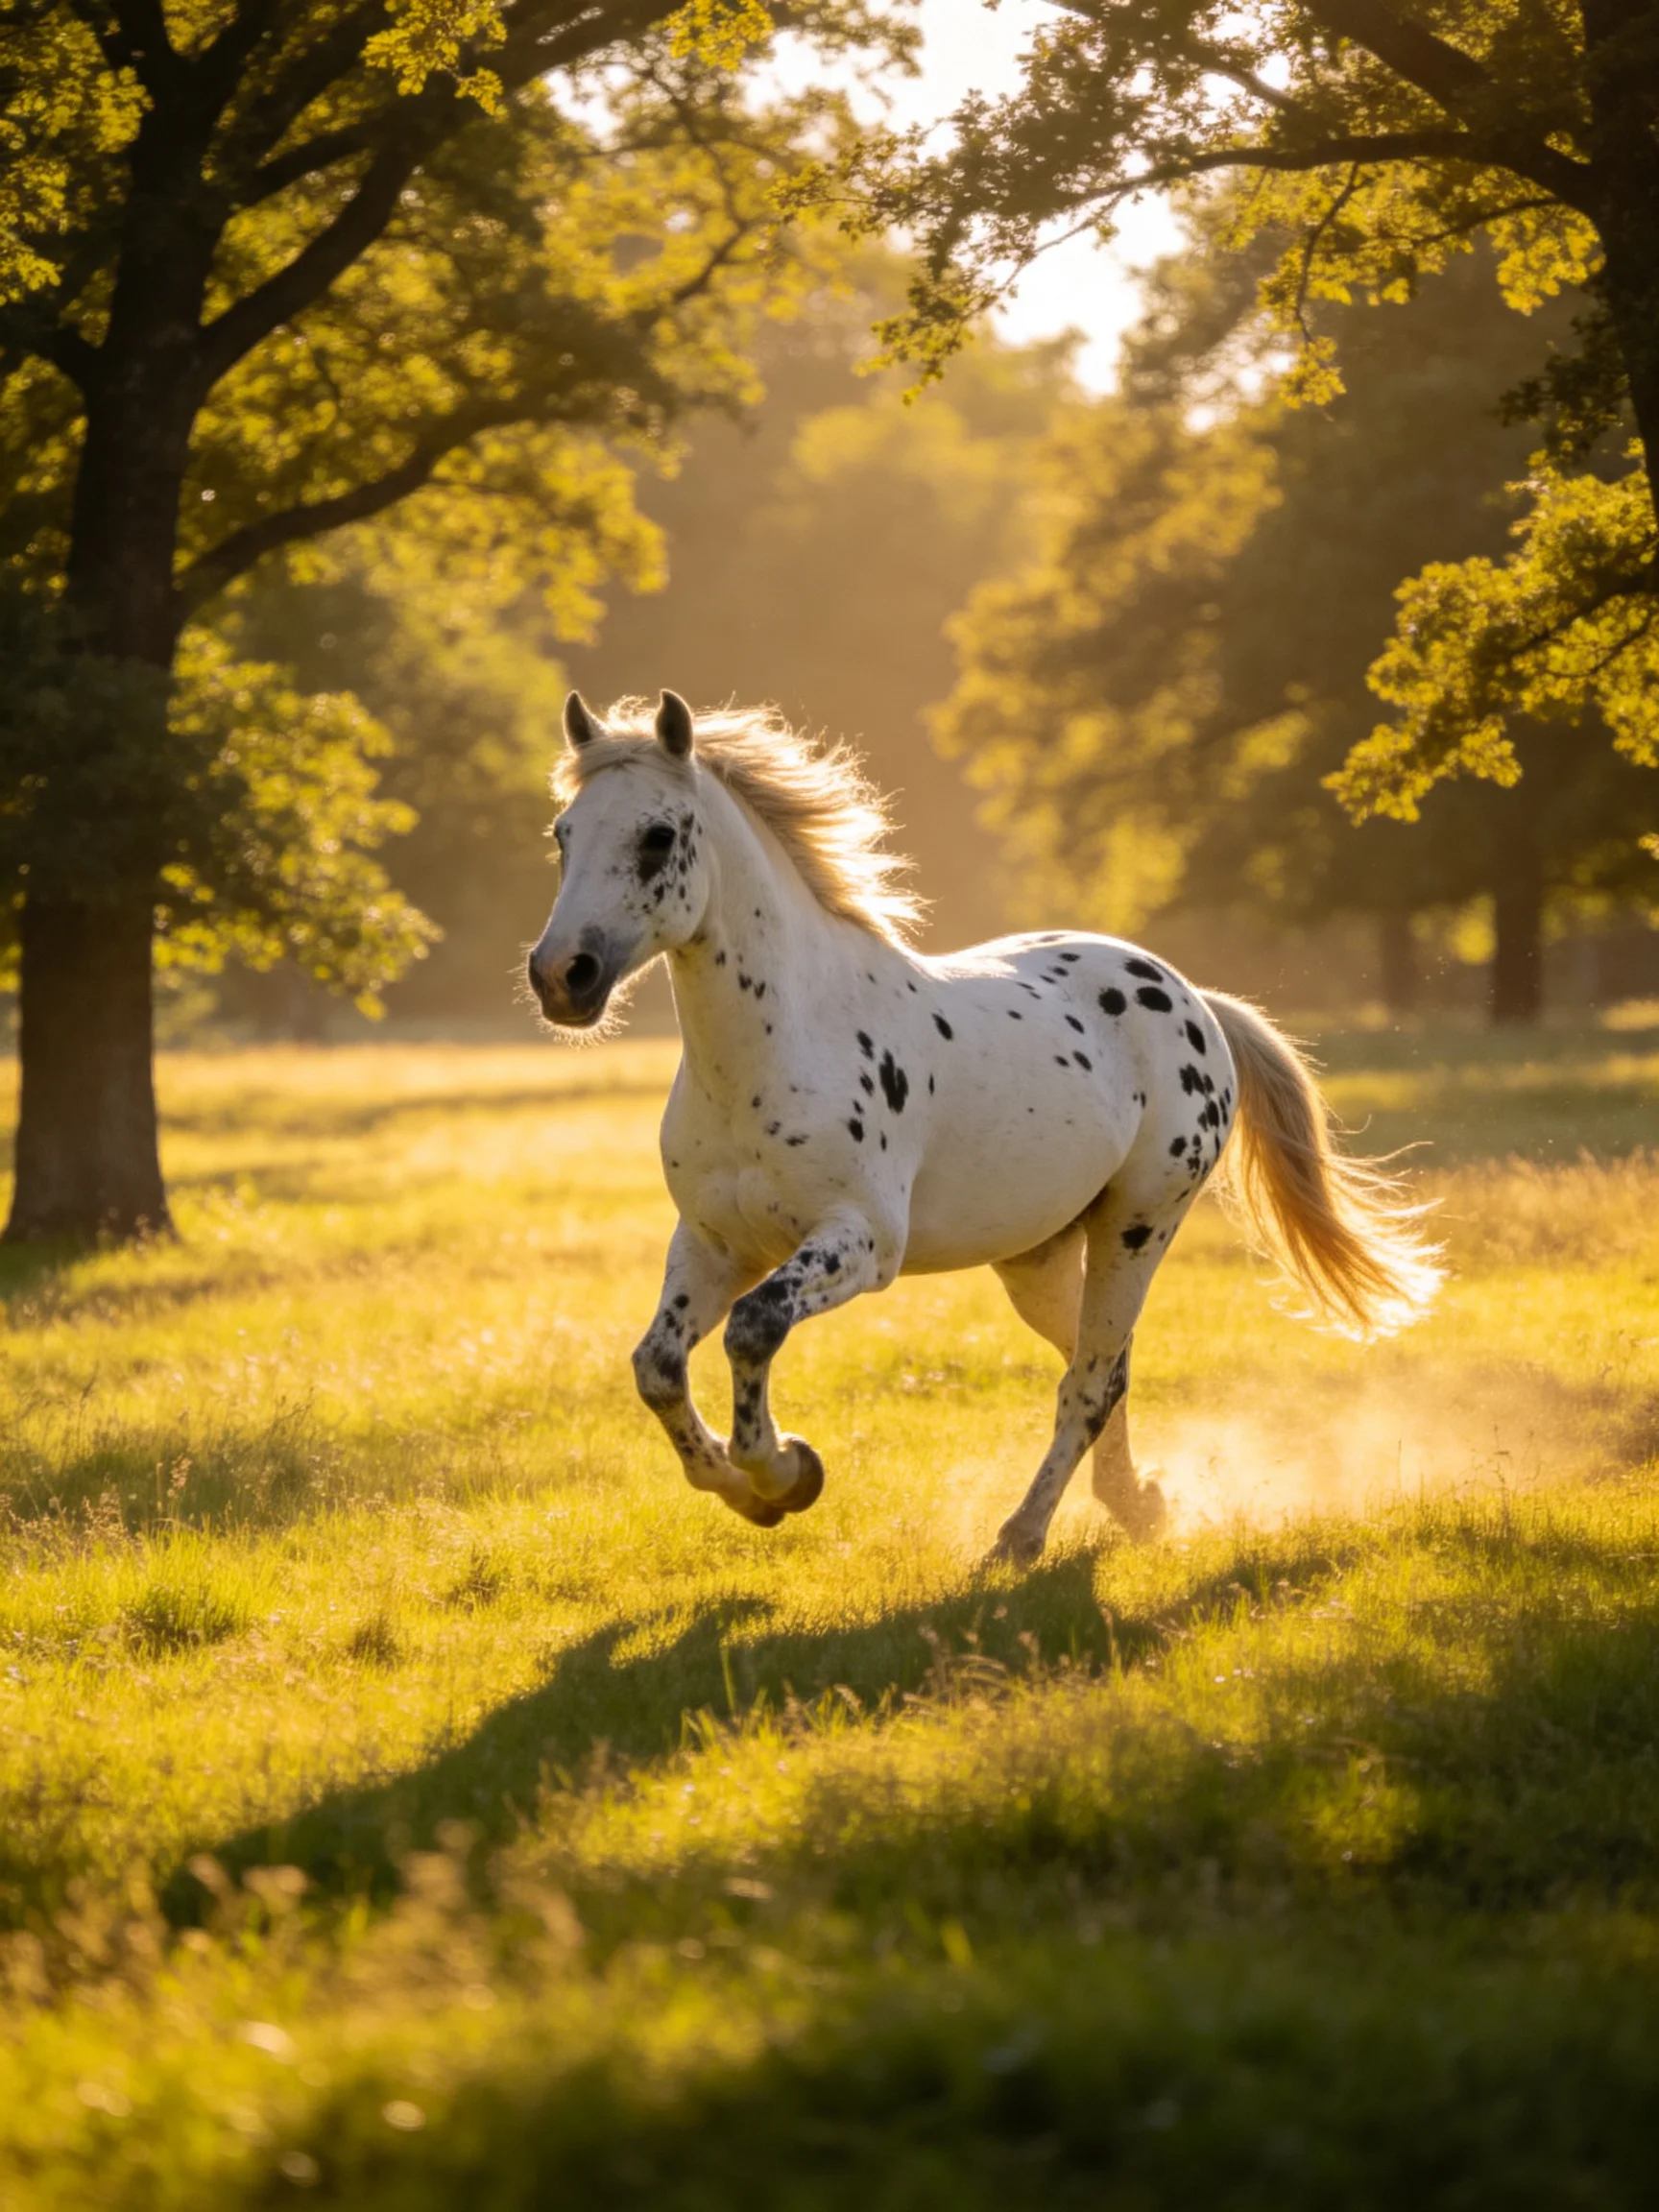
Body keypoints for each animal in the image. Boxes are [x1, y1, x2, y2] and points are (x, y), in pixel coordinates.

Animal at [526, 689, 1442, 1563]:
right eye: (563, 836)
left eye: (656, 836)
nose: (562, 976)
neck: (781, 1046)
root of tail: (1194, 1001)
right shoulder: (715, 1241)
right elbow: (657, 1367)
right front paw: (746, 1490)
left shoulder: (863, 1242)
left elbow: (754, 1329)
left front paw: (787, 1472)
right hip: (1038, 1258)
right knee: (1103, 1367)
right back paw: (1137, 1506)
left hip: (1140, 1225)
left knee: (1089, 1381)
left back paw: (1021, 1537)